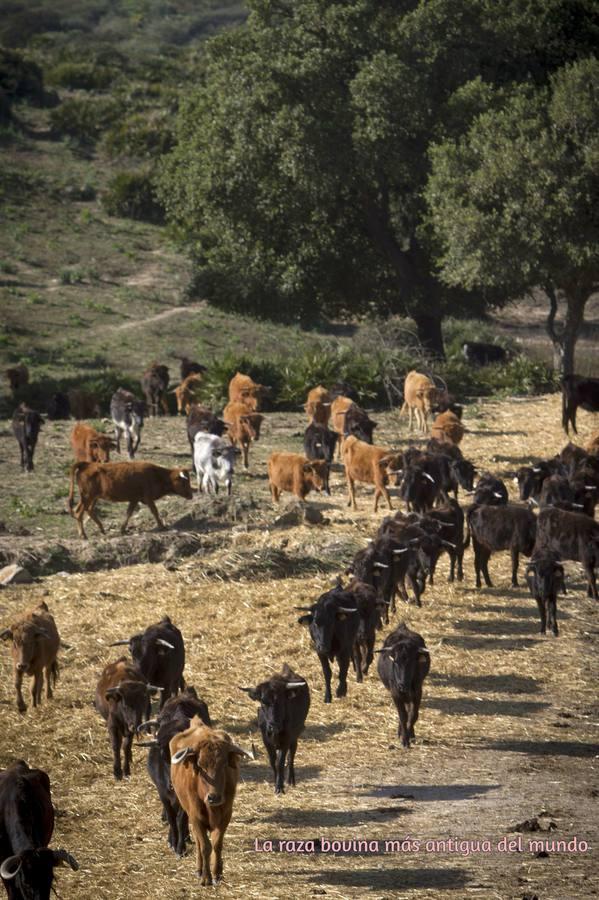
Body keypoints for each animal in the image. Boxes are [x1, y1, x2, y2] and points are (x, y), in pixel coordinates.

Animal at [139, 684, 211, 856]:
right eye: (163, 754)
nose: (174, 781)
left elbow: (180, 819)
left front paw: (180, 846)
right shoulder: (162, 793)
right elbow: (172, 818)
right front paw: (172, 841)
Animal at [169, 716, 253, 884]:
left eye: (223, 765)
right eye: (200, 766)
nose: (214, 797)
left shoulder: (226, 816)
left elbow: (216, 844)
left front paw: (217, 873)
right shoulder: (196, 817)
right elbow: (205, 846)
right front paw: (206, 877)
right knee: (198, 841)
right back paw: (199, 869)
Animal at [239, 660, 310, 796]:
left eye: (281, 701)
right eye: (263, 702)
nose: (274, 726)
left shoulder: (286, 740)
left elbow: (280, 762)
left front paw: (279, 787)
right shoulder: (266, 740)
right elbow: (273, 761)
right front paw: (276, 782)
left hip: (295, 736)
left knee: (291, 756)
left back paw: (290, 780)